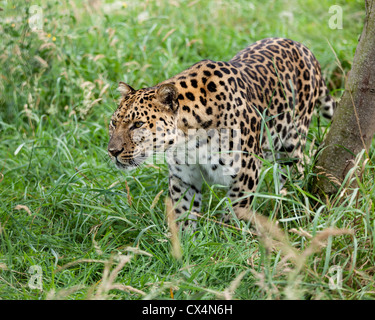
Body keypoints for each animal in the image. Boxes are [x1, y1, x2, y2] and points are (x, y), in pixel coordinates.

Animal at [107, 37, 336, 230]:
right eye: (113, 123)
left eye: (137, 124)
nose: (112, 151)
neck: (188, 139)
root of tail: (303, 48)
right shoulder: (184, 177)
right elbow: (184, 212)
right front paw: (185, 244)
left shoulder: (247, 170)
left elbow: (235, 210)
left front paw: (230, 237)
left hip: (292, 144)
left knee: (294, 174)